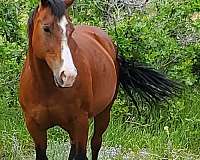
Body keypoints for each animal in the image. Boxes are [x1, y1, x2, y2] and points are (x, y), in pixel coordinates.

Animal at [18, 0, 178, 159]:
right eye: (46, 28)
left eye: (71, 30)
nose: (68, 75)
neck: (46, 89)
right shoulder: (34, 128)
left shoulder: (81, 123)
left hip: (103, 114)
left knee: (96, 143)